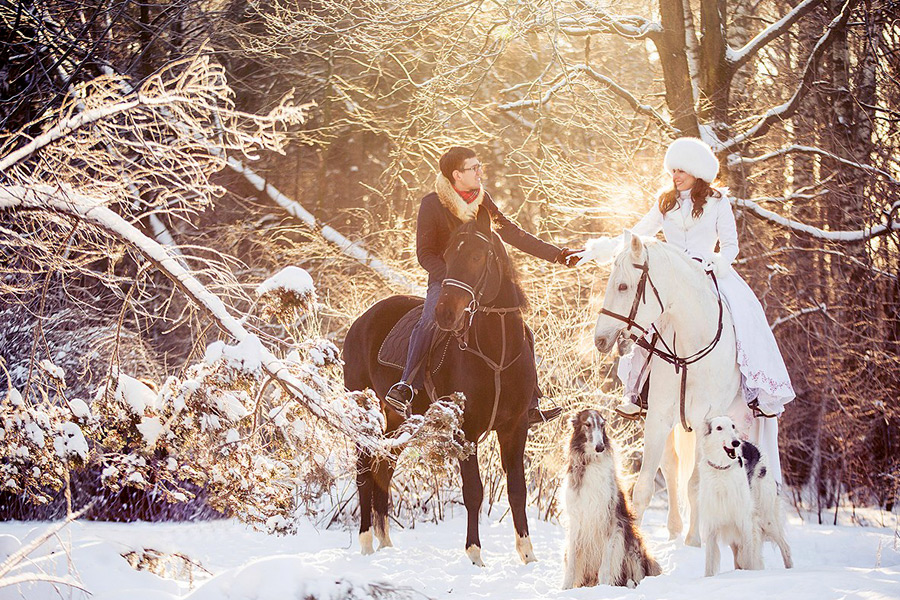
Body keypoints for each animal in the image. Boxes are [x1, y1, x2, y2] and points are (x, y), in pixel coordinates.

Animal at [342, 207, 540, 568]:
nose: (446, 314)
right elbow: (474, 492)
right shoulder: (466, 431)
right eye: (447, 256)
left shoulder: (515, 427)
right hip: (364, 416)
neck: (497, 352)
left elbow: (517, 490)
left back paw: (385, 541)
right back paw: (365, 543)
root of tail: (361, 320)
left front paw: (528, 554)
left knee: (384, 468)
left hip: (399, 422)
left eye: (477, 256)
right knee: (364, 471)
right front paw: (475, 555)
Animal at [564, 410, 660, 588]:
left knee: (634, 577)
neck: (592, 462)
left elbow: (605, 566)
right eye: (587, 424)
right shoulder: (576, 519)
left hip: (633, 546)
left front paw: (603, 588)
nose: (600, 447)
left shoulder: (611, 521)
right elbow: (571, 564)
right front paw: (564, 588)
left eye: (602, 425)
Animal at [592, 232, 744, 548]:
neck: (690, 348)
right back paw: (674, 529)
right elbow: (645, 486)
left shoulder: (705, 423)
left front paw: (694, 541)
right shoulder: (658, 418)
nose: (600, 340)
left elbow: (696, 484)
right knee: (672, 468)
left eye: (622, 286)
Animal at [700, 418, 792, 576]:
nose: (736, 442)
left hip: (766, 519)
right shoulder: (712, 522)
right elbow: (709, 564)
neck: (722, 470)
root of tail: (756, 448)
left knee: (785, 547)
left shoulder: (745, 522)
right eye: (719, 428)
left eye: (733, 426)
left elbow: (749, 557)